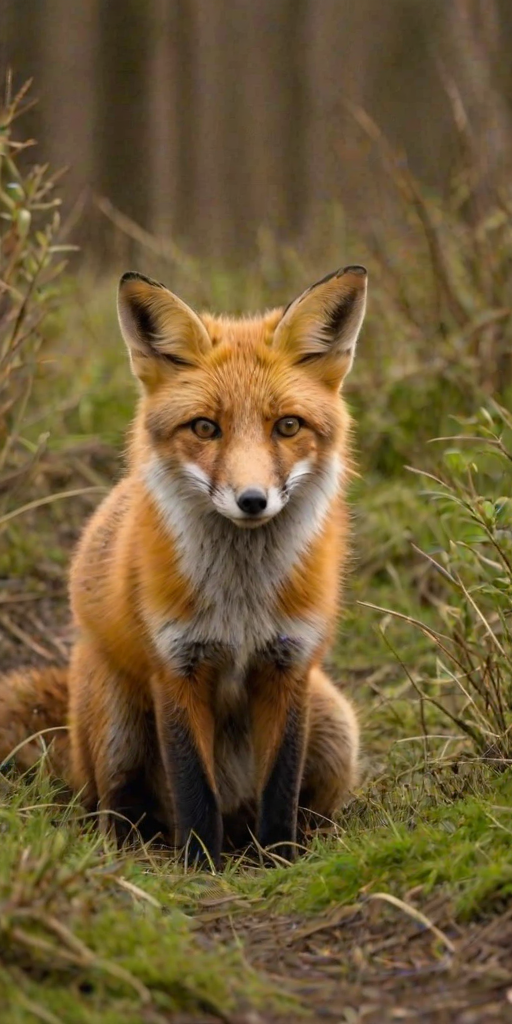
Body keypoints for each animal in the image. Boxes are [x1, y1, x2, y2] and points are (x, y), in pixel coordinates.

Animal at [0, 265, 367, 866]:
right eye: (204, 428)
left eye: (288, 427)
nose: (251, 500)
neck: (241, 602)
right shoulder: (176, 667)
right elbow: (194, 787)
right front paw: (199, 866)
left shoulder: (289, 666)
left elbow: (280, 785)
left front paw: (279, 860)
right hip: (119, 719)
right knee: (114, 807)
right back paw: (139, 850)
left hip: (336, 722)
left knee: (294, 804)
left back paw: (299, 841)